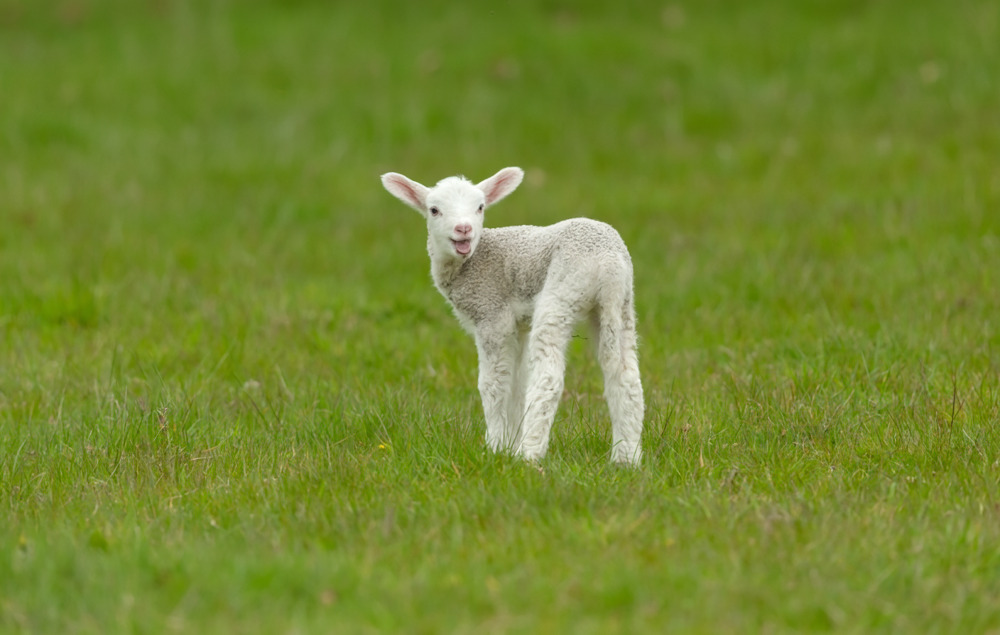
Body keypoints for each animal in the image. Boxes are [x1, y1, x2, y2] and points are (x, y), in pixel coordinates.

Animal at [378, 168, 644, 468]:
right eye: (434, 210)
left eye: (480, 207)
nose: (463, 229)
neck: (472, 261)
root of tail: (608, 263)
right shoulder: (518, 326)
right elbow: (517, 383)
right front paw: (508, 443)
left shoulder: (492, 314)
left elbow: (493, 384)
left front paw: (495, 447)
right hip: (620, 304)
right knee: (626, 376)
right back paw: (626, 459)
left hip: (562, 291)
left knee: (549, 377)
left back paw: (529, 454)